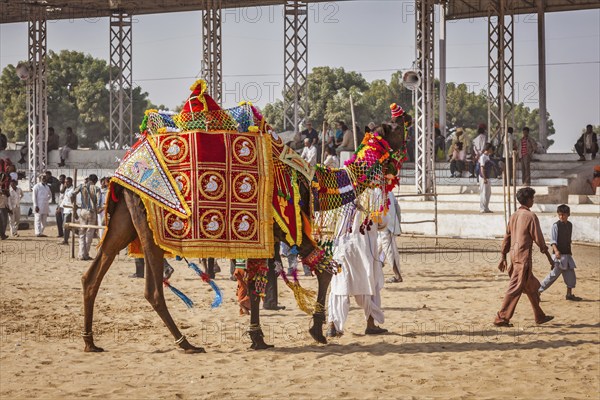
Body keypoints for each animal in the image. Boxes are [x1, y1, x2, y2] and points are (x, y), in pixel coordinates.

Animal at [81, 80, 404, 354]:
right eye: (395, 128)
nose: (405, 116)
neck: (309, 178)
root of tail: (124, 168)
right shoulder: (287, 224)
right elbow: (323, 270)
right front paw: (316, 331)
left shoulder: (262, 235)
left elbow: (254, 282)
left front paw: (257, 337)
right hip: (150, 226)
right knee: (152, 291)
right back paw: (187, 343)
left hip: (122, 218)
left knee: (92, 276)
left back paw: (90, 342)